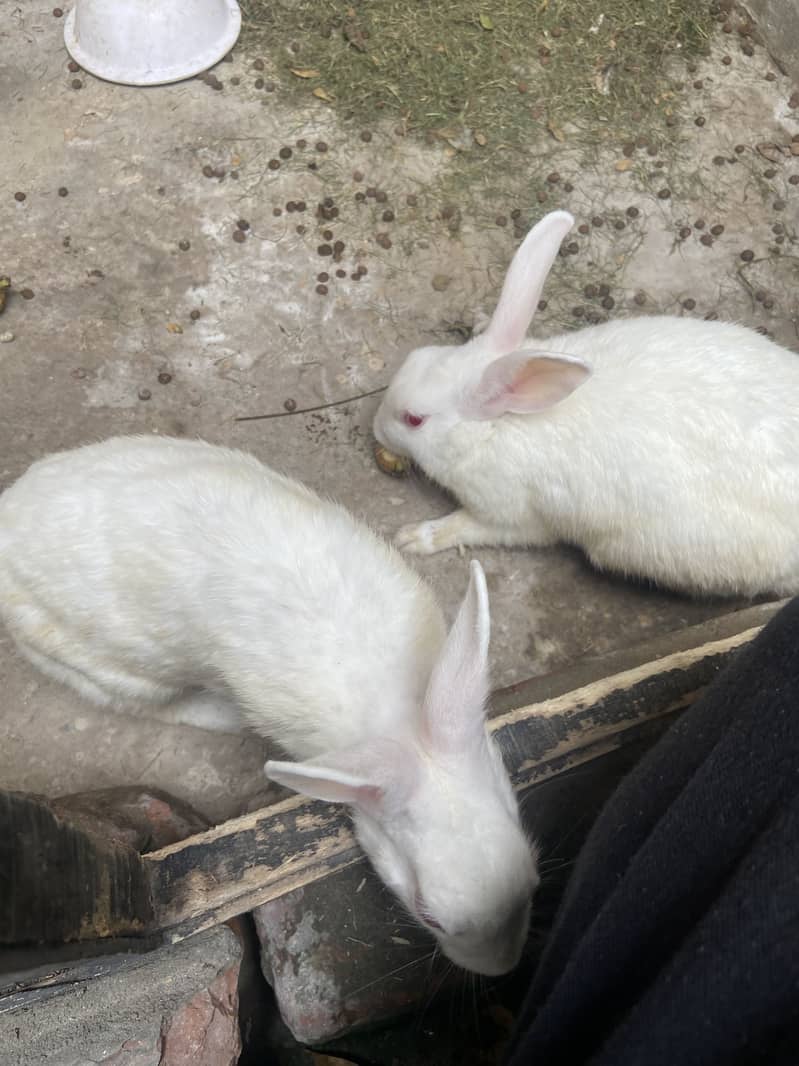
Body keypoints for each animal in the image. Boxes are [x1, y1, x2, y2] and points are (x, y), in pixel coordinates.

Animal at [373, 210, 799, 598]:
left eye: (414, 419)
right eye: (415, 357)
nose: (375, 427)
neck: (494, 427)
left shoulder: (509, 516)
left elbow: (465, 526)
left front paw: (412, 538)